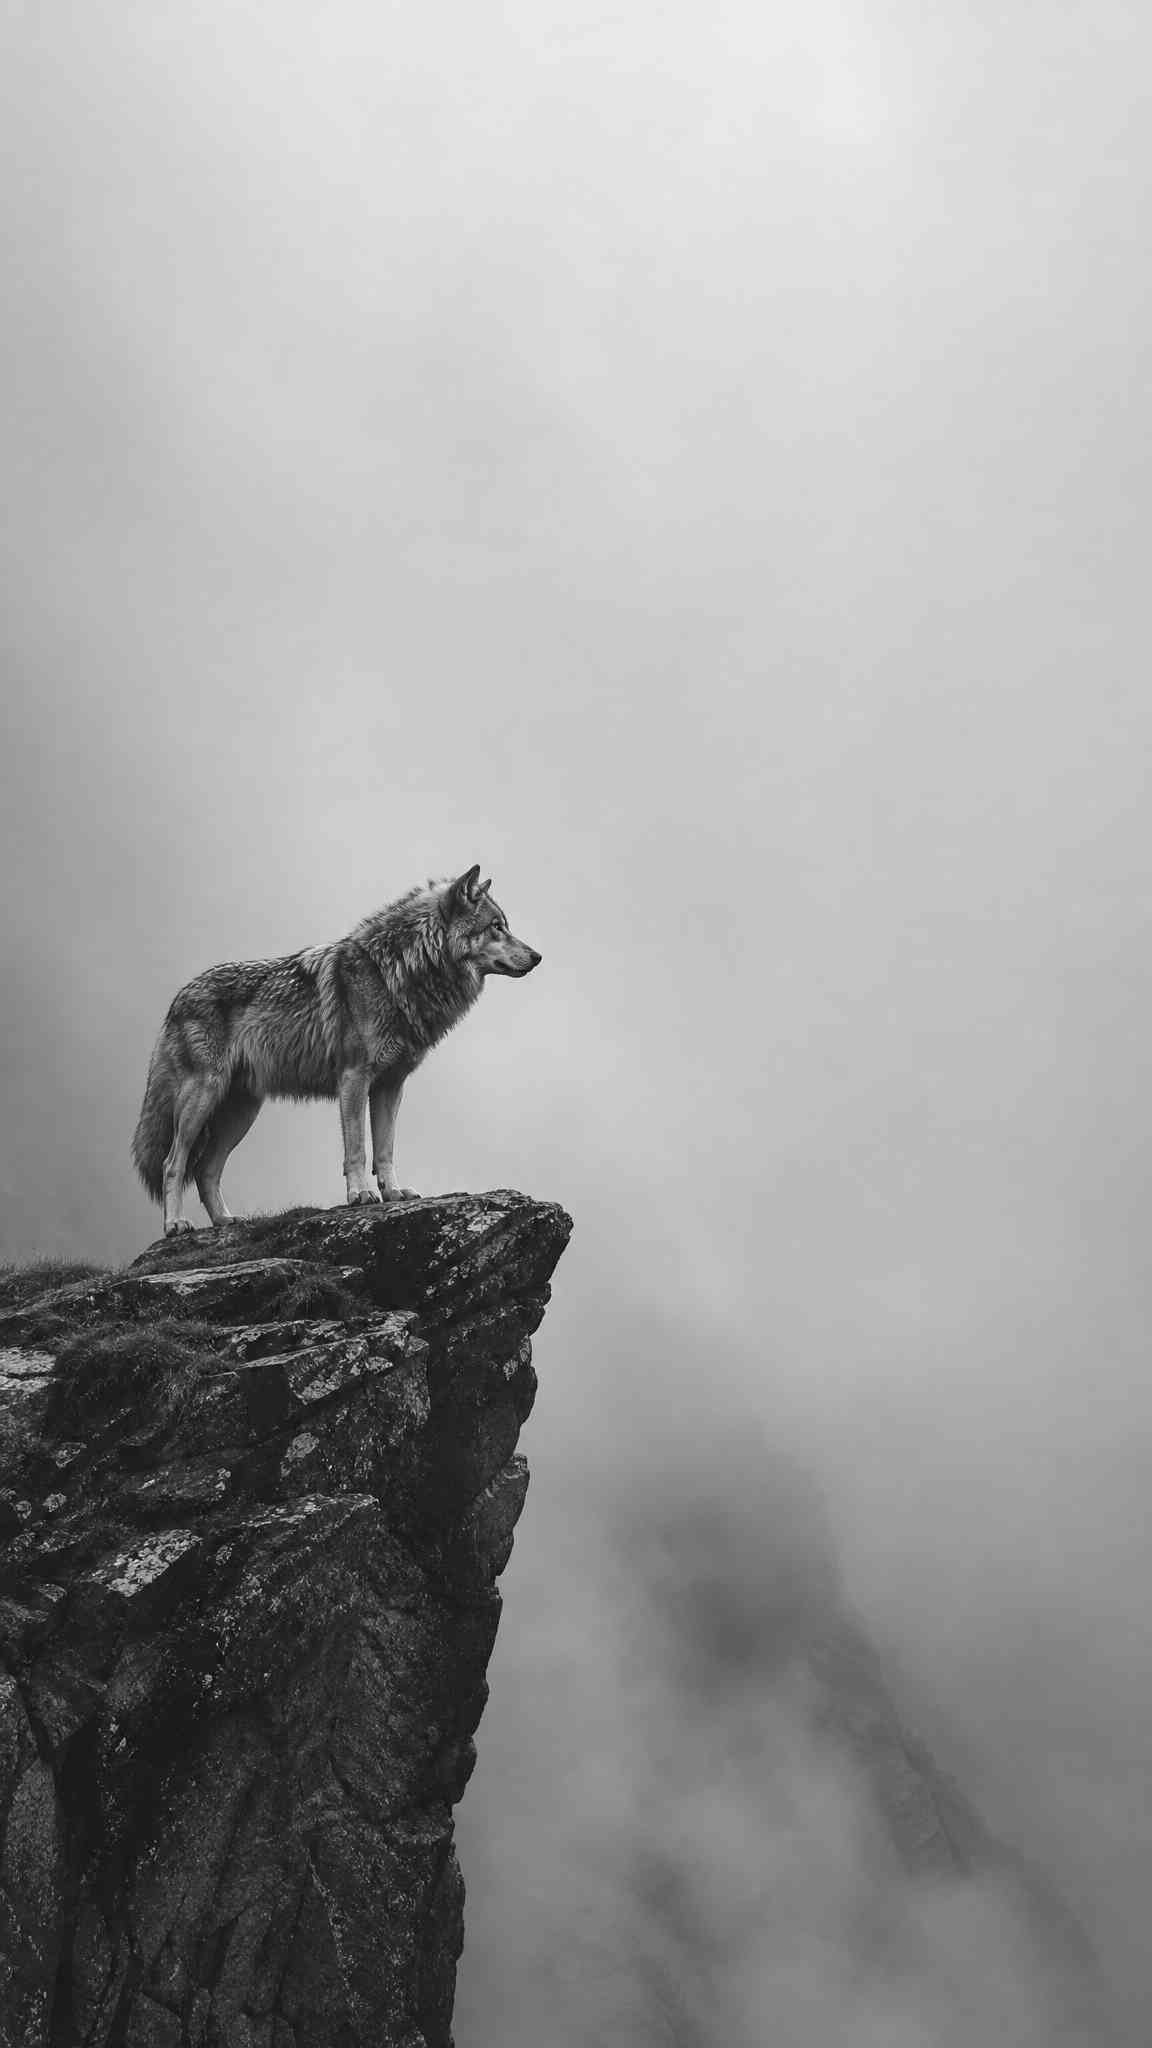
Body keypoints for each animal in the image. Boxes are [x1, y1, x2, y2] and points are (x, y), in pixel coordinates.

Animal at [131, 866, 541, 1236]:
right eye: (496, 927)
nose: (537, 956)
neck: (397, 973)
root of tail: (178, 997)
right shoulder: (354, 1079)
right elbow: (357, 1148)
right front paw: (360, 1196)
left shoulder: (391, 1085)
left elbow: (385, 1150)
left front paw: (394, 1194)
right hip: (204, 1098)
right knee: (173, 1162)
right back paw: (175, 1226)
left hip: (241, 1113)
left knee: (206, 1170)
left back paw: (226, 1222)